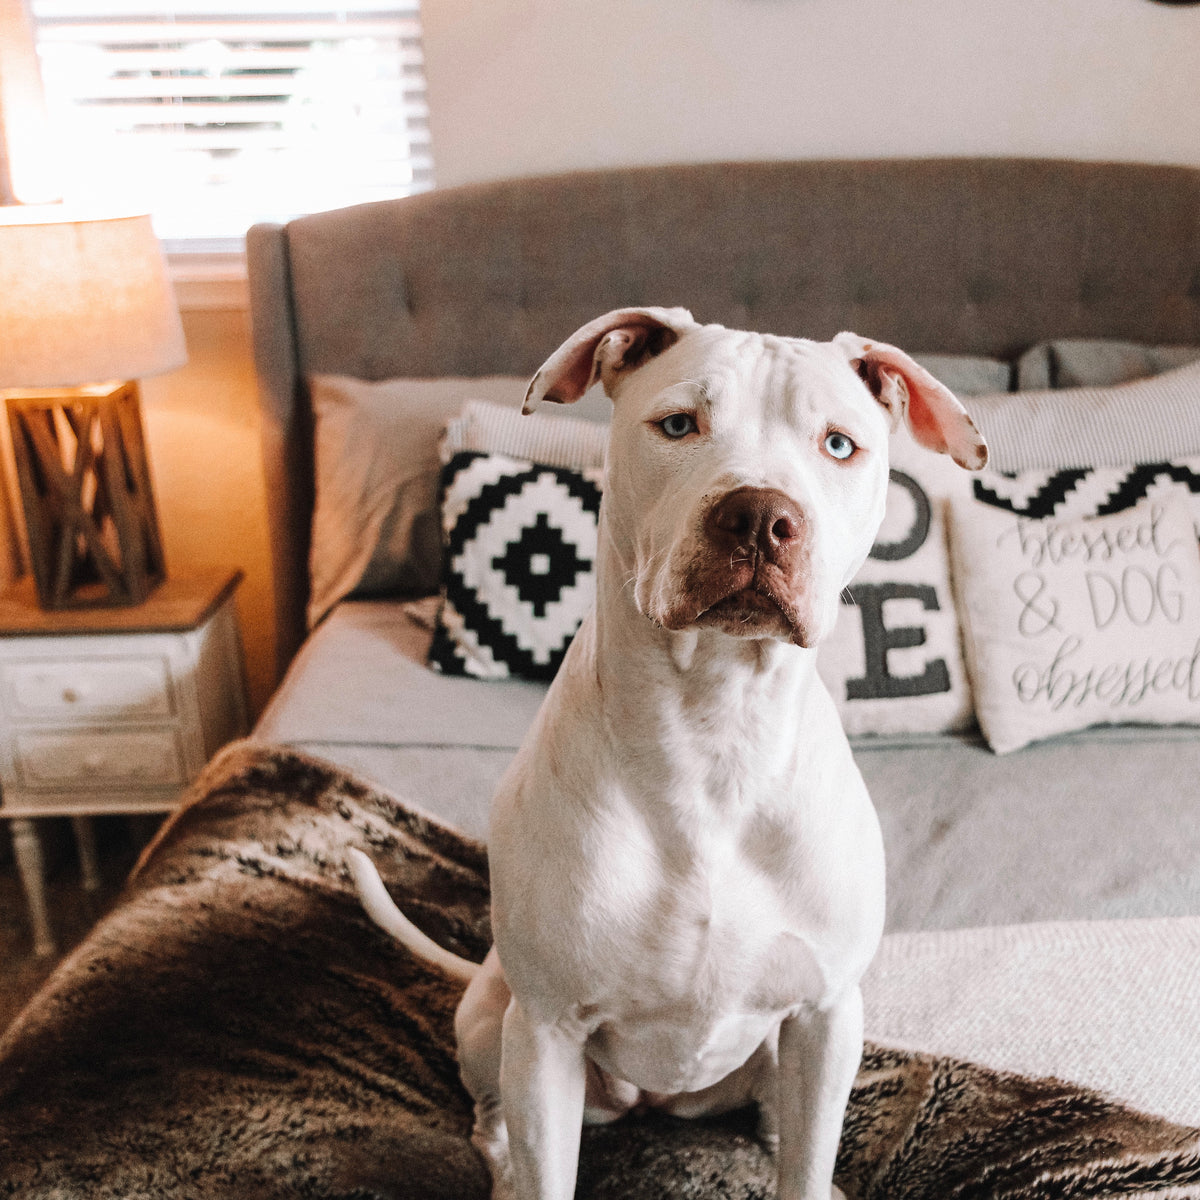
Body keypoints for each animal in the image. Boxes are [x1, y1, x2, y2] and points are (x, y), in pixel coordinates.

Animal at [348, 309, 984, 1200]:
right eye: (679, 425)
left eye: (838, 444)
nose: (760, 515)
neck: (715, 728)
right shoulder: (545, 1033)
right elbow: (548, 1169)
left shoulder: (826, 1016)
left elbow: (803, 1160)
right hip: (492, 1017)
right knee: (493, 1115)